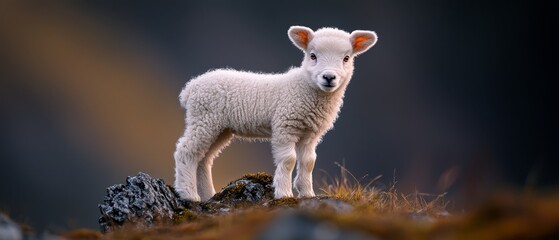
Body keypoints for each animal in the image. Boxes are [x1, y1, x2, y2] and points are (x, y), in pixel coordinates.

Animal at [173, 25, 378, 201]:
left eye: (346, 58)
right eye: (312, 56)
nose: (328, 77)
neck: (304, 88)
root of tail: (190, 88)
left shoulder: (310, 134)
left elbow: (308, 162)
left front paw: (307, 193)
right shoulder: (285, 125)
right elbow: (289, 160)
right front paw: (284, 193)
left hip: (220, 128)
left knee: (204, 159)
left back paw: (209, 195)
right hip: (204, 119)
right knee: (186, 151)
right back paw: (188, 194)